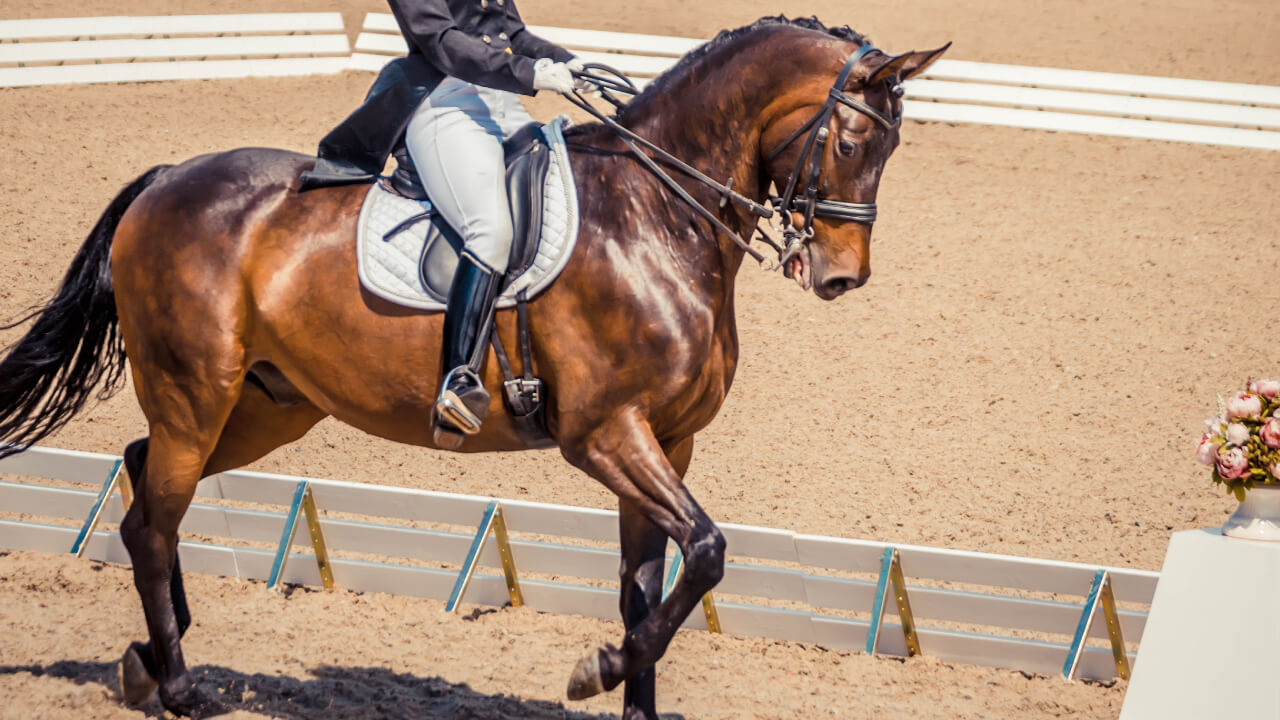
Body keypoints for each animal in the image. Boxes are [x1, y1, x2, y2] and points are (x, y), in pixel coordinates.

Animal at [0, 16, 946, 720]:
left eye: (892, 149)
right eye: (852, 143)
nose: (841, 277)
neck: (655, 217)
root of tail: (168, 180)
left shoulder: (666, 442)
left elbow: (647, 587)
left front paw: (628, 687)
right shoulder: (604, 434)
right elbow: (706, 553)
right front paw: (594, 670)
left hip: (267, 406)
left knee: (142, 482)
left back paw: (147, 658)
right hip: (195, 395)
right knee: (154, 522)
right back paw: (181, 686)